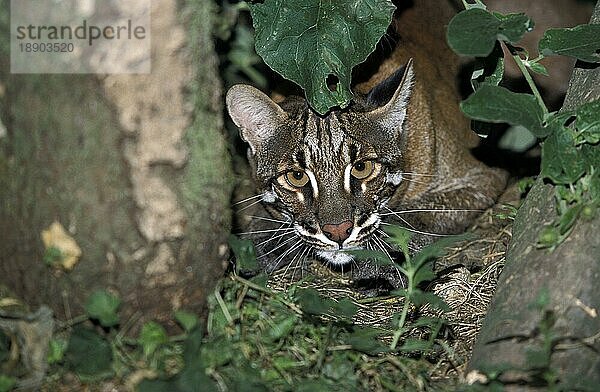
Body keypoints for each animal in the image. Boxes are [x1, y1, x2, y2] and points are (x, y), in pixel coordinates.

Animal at [225, 0, 506, 288]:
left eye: (361, 168)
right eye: (296, 177)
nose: (338, 231)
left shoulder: (482, 178)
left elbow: (410, 214)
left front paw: (382, 266)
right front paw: (258, 245)